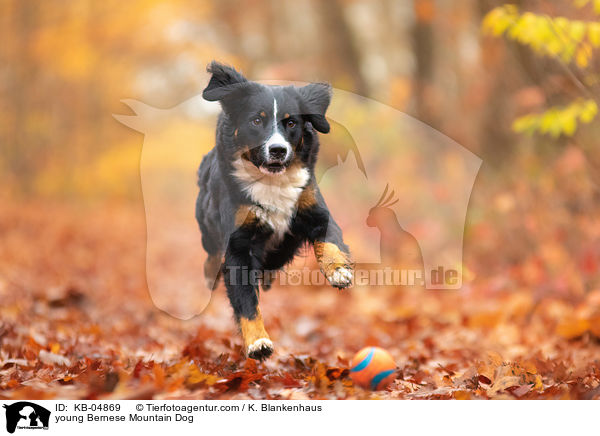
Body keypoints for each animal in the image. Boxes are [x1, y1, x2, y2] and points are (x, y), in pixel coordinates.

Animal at [197, 62, 354, 362]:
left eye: (291, 123)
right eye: (256, 121)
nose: (278, 150)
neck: (271, 181)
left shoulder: (315, 210)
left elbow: (329, 243)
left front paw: (338, 271)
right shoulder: (238, 243)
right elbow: (246, 300)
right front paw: (258, 342)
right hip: (208, 231)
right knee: (211, 258)